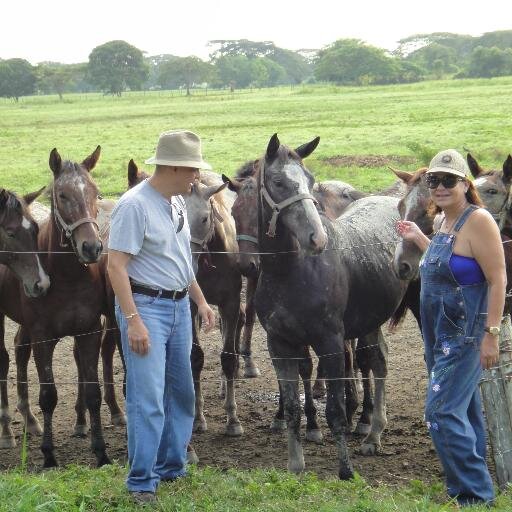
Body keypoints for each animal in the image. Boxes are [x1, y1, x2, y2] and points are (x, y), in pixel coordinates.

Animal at [0, 147, 111, 468]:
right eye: (62, 195)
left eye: (97, 192)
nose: (92, 248)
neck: (69, 278)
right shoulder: (43, 337)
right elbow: (48, 394)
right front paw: (49, 455)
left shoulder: (89, 332)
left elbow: (93, 391)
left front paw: (101, 451)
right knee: (5, 359)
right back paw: (9, 431)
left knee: (19, 350)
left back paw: (30, 421)